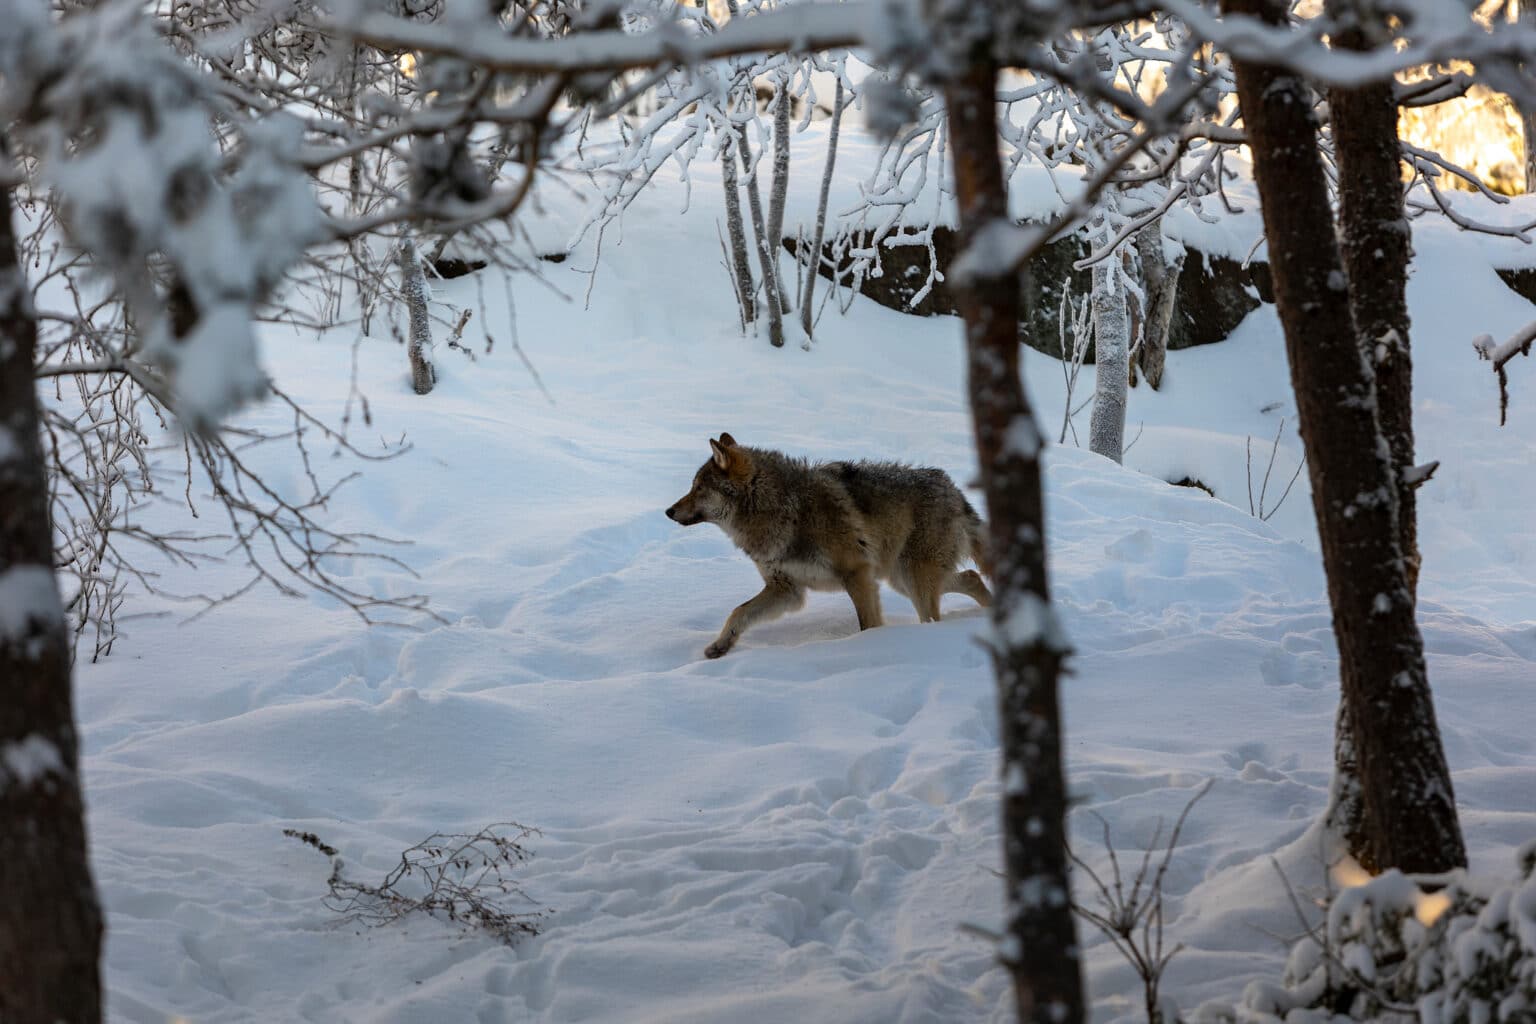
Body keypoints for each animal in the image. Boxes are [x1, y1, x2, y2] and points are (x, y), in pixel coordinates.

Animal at [666, 429, 989, 657]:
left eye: (698, 488)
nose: (668, 511)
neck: (783, 508)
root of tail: (954, 489)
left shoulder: (857, 574)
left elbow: (869, 624)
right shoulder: (786, 590)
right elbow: (739, 611)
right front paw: (720, 646)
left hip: (912, 579)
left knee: (938, 612)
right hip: (902, 579)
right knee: (972, 576)